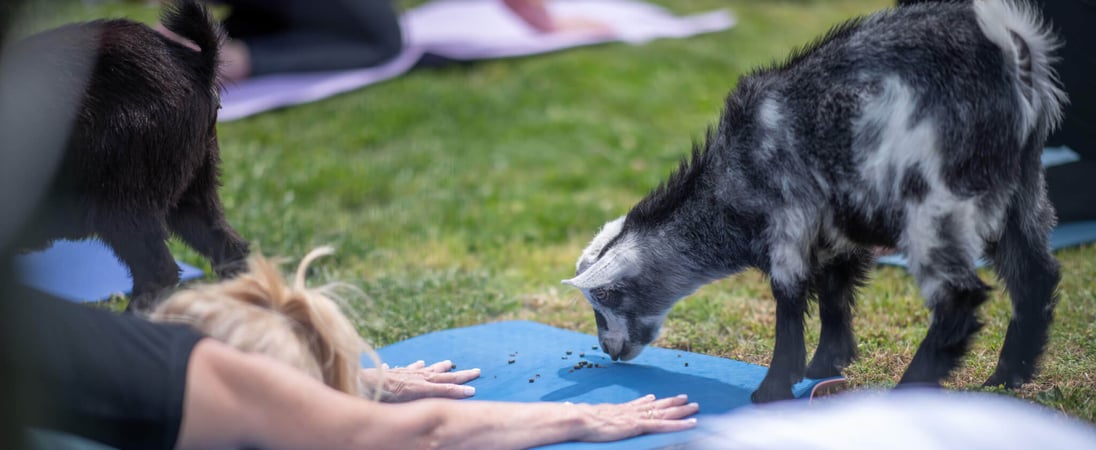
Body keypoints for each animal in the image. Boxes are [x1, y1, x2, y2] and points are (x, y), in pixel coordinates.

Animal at [565, 0, 1060, 400]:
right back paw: (1007, 378)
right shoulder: (834, 234)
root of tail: (1008, 46)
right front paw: (826, 365)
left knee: (959, 297)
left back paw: (911, 388)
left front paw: (773, 388)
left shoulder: (789, 223)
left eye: (605, 296)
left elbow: (789, 303)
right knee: (1035, 275)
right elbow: (834, 295)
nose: (610, 351)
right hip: (1022, 187)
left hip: (934, 199)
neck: (732, 180)